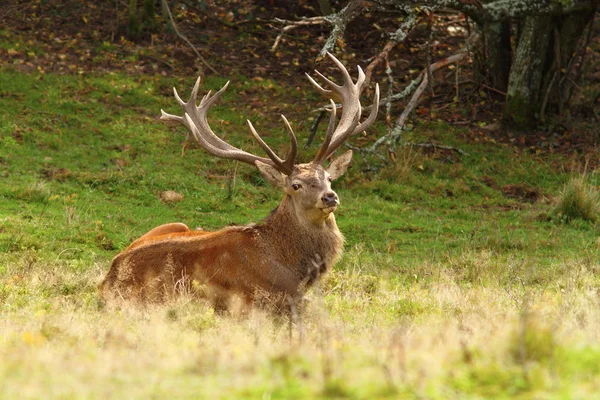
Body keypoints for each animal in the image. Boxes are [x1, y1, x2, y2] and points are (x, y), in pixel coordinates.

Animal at [99, 53, 380, 310]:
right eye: (295, 185)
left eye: (329, 178)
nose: (329, 197)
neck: (292, 266)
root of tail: (108, 280)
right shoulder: (264, 300)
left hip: (174, 224)